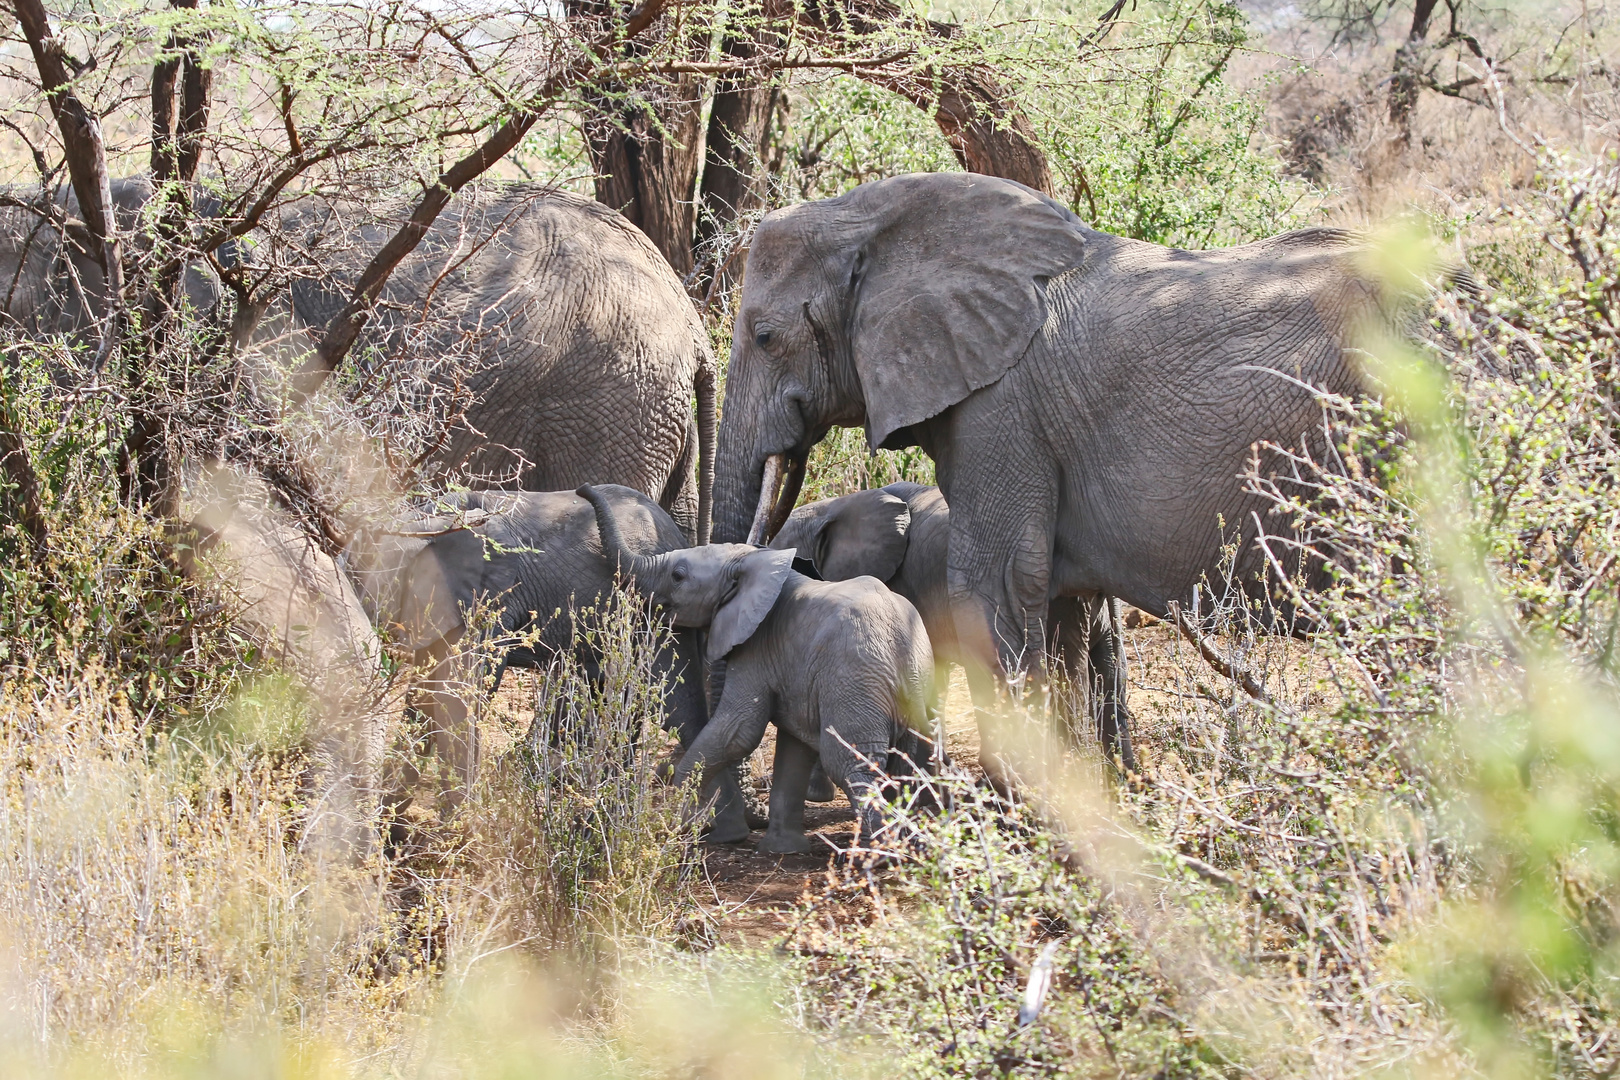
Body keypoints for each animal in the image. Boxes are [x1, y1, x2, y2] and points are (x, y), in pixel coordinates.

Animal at [579, 485, 939, 854]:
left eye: (678, 576)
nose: (583, 490)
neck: (754, 561)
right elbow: (794, 746)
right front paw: (783, 849)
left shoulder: (758, 645)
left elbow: (739, 729)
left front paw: (686, 819)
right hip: (912, 682)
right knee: (909, 760)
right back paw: (912, 847)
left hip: (853, 681)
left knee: (851, 763)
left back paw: (874, 854)